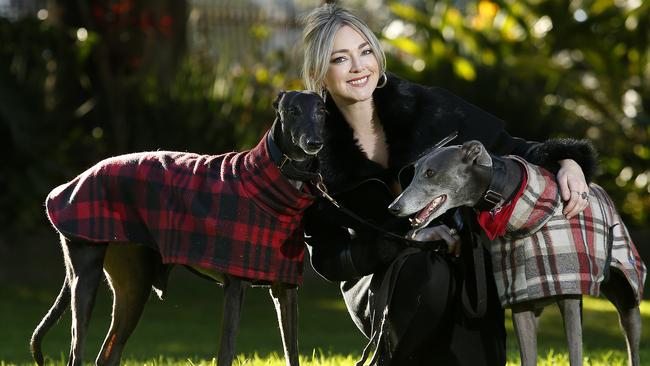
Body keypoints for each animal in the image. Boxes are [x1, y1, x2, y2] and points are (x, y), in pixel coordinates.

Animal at [30, 89, 324, 366]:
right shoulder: (234, 285)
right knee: (76, 353)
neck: (276, 182)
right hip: (86, 274)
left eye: (322, 111)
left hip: (133, 283)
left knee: (108, 354)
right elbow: (226, 353)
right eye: (293, 111)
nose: (314, 143)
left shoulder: (285, 289)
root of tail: (76, 179)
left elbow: (292, 353)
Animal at [384, 140, 644, 366]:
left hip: (628, 295)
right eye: (415, 172)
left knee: (632, 338)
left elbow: (575, 354)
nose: (393, 207)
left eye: (430, 173)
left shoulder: (570, 296)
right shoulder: (519, 295)